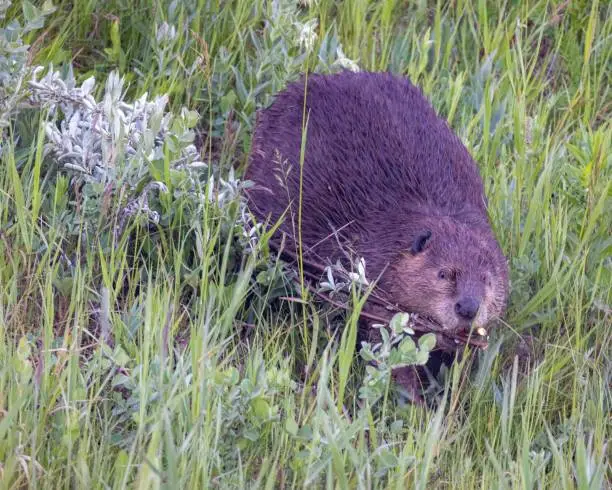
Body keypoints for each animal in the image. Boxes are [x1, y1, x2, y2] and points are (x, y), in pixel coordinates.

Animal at [246, 72, 510, 398]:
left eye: (488, 280)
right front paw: (410, 396)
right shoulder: (374, 277)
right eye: (443, 274)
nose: (468, 307)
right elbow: (382, 340)